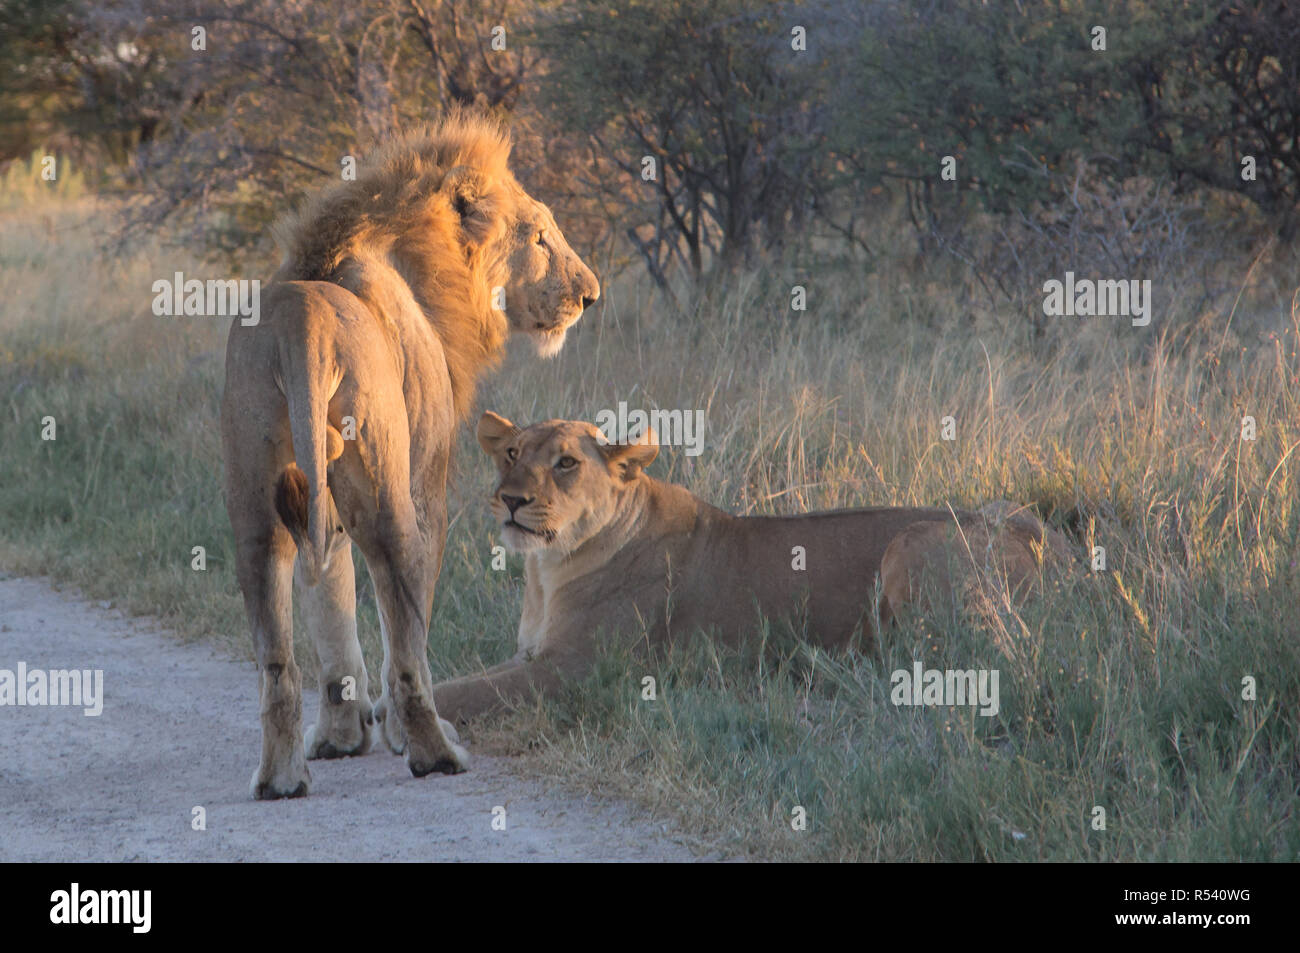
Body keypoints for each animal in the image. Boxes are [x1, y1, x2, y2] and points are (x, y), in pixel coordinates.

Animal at [221, 111, 599, 799]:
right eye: (538, 236)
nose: (590, 295)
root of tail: (302, 323)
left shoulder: (318, 509)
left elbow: (332, 610)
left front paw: (341, 738)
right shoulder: (428, 483)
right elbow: (411, 625)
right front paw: (390, 733)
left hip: (256, 510)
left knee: (278, 658)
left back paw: (282, 776)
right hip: (386, 493)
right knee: (404, 639)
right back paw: (434, 750)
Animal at [430, 413, 1071, 722]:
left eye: (565, 463)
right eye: (512, 454)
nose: (510, 499)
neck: (547, 570)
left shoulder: (576, 670)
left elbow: (464, 693)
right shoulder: (532, 656)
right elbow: (467, 680)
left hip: (912, 544)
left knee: (984, 658)